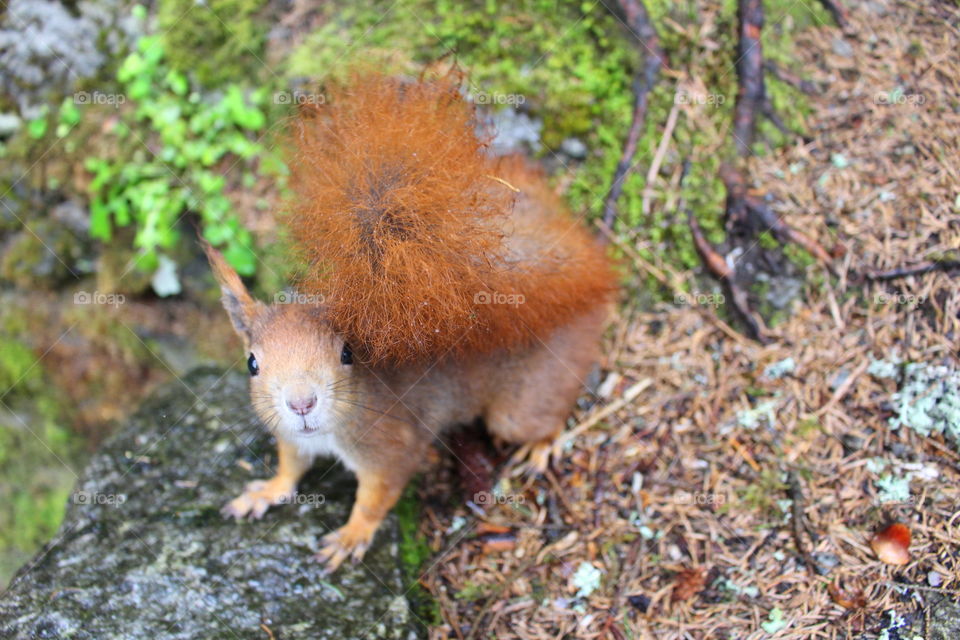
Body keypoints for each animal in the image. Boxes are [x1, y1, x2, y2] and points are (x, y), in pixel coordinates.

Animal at [206, 72, 620, 572]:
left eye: (347, 354)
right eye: (252, 363)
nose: (301, 404)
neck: (328, 431)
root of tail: (585, 291)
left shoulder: (391, 447)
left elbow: (376, 496)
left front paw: (353, 534)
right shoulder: (292, 438)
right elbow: (290, 468)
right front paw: (265, 492)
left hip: (522, 404)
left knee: (546, 417)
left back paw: (541, 447)